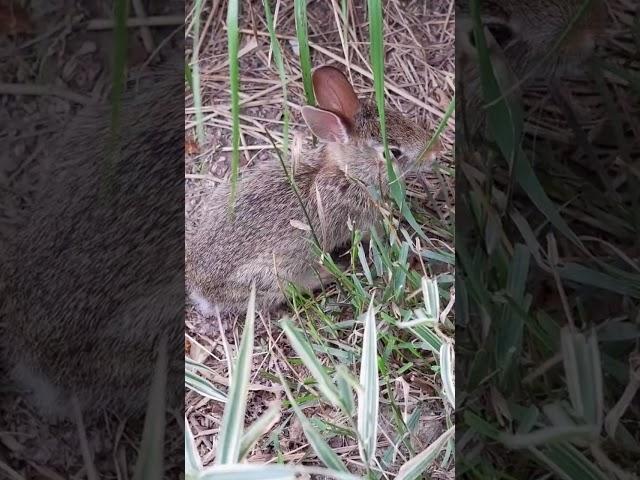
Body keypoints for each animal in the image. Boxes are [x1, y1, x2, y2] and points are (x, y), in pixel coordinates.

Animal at [185, 65, 440, 316]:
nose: (435, 153)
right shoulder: (363, 221)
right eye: (392, 153)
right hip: (274, 275)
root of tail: (201, 290)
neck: (349, 173)